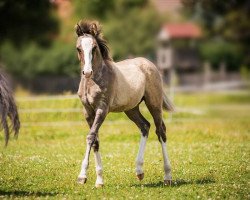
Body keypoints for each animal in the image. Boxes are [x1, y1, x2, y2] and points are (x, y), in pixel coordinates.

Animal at [74, 20, 174, 188]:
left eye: (94, 47)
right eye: (78, 48)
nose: (87, 72)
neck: (94, 81)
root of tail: (150, 64)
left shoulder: (102, 109)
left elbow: (90, 137)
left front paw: (82, 176)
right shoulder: (87, 111)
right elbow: (95, 140)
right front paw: (99, 181)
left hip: (154, 103)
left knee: (160, 131)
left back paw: (167, 176)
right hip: (131, 109)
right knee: (145, 126)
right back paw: (139, 171)